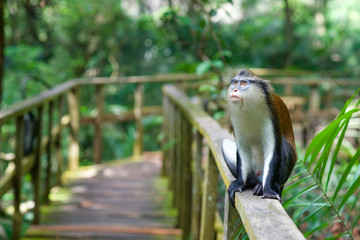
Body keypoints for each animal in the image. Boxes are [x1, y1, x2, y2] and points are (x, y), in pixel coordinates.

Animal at [222, 69, 298, 204]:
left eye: (243, 84)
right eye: (235, 83)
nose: (234, 90)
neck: (250, 106)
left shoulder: (271, 117)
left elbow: (272, 150)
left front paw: (267, 190)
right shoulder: (236, 122)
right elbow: (243, 150)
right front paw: (240, 184)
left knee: (283, 144)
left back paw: (267, 186)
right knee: (225, 143)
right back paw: (251, 182)